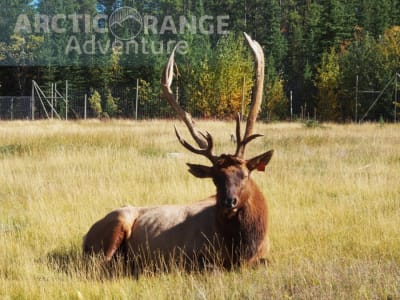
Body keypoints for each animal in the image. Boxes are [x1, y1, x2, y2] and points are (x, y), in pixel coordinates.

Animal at [83, 32, 274, 274]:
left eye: (245, 175)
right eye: (215, 179)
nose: (228, 202)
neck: (244, 248)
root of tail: (85, 236)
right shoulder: (191, 255)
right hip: (117, 223)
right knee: (102, 264)